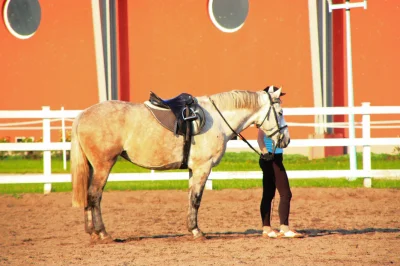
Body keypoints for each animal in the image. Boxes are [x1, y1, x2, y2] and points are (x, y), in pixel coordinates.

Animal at [72, 86, 290, 242]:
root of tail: (83, 114)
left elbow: (190, 198)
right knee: (95, 195)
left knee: (88, 196)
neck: (218, 119)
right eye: (279, 112)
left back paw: (92, 232)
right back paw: (103, 233)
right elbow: (196, 199)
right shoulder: (203, 167)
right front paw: (197, 231)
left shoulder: (194, 169)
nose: (286, 140)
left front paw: (191, 228)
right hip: (103, 166)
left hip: (93, 167)